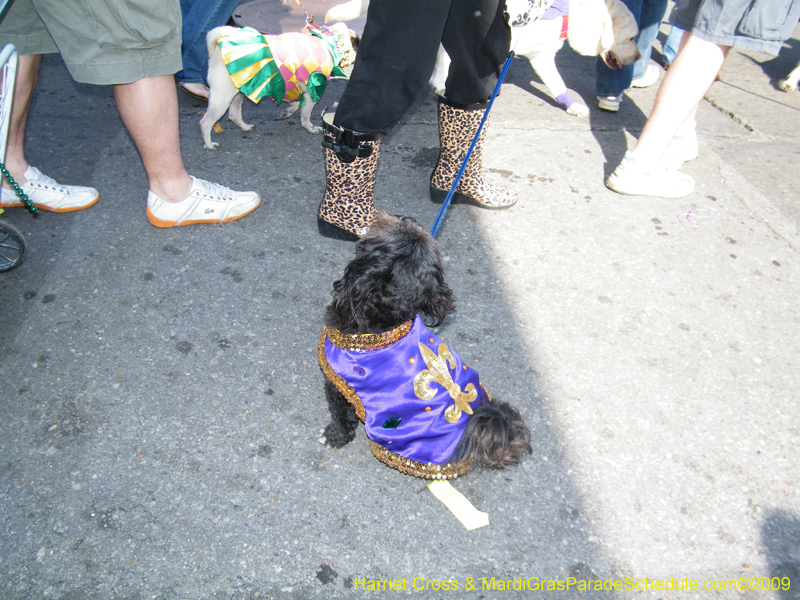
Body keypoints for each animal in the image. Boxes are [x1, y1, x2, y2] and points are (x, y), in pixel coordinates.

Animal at [318, 212, 532, 474]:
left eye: (394, 229)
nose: (406, 217)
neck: (385, 324)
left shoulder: (338, 383)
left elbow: (341, 415)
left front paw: (334, 435)